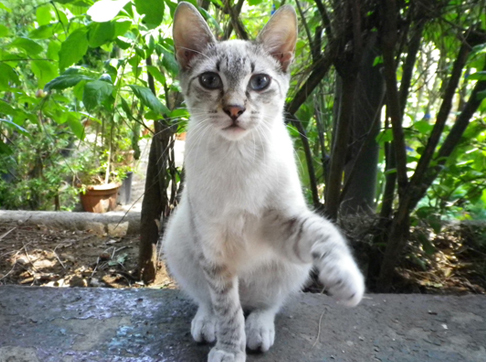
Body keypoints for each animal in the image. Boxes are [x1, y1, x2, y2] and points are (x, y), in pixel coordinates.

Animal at [163, 2, 364, 362]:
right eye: (210, 80)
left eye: (259, 82)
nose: (234, 109)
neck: (238, 156)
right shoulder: (214, 249)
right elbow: (227, 309)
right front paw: (229, 350)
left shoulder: (284, 224)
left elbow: (325, 233)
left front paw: (346, 279)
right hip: (178, 242)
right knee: (209, 299)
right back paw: (208, 323)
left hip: (289, 270)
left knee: (266, 304)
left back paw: (259, 328)